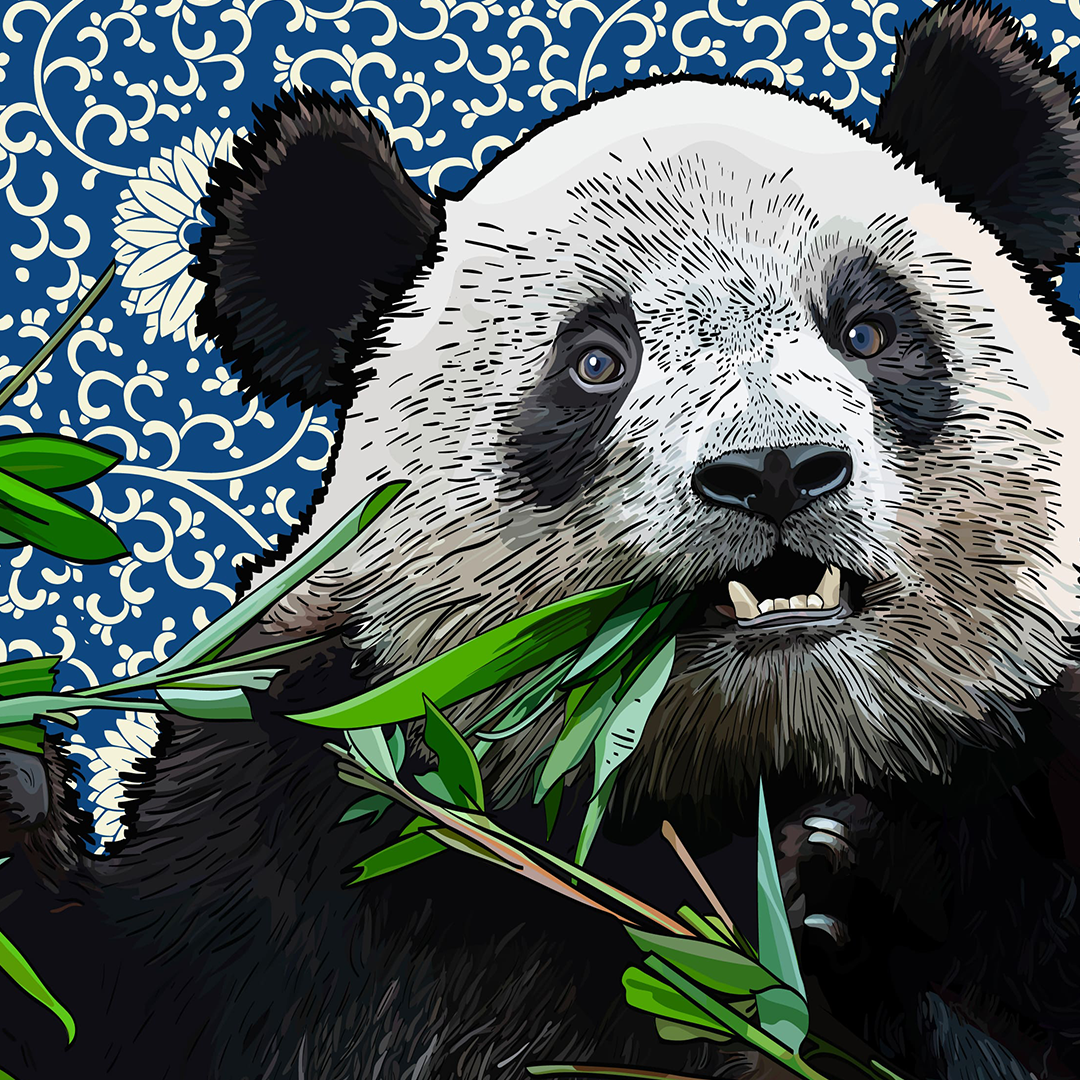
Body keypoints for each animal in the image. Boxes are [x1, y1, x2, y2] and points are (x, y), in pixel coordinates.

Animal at [0, 1, 1078, 1077]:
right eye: (597, 361)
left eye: (867, 331)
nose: (774, 468)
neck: (738, 768)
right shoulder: (294, 827)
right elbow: (103, 1001)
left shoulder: (1026, 773)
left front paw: (837, 909)